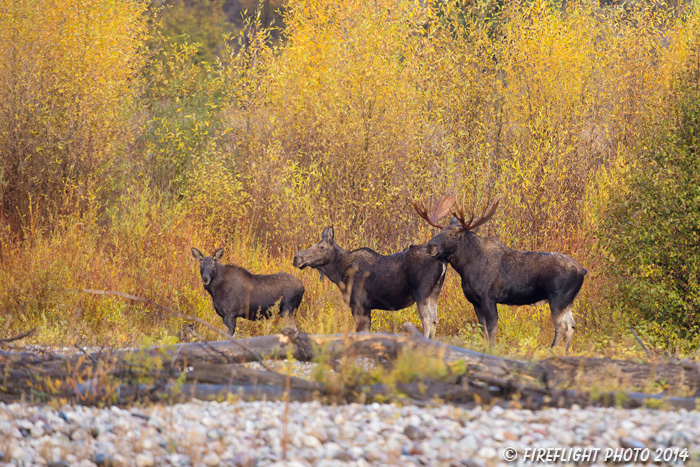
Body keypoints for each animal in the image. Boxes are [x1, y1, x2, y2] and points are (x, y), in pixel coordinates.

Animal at [290, 225, 448, 338]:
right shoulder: (366, 307)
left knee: (427, 320)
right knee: (435, 319)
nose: (297, 258)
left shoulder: (358, 304)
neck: (339, 273)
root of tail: (442, 261)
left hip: (421, 294)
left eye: (321, 247)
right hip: (434, 294)